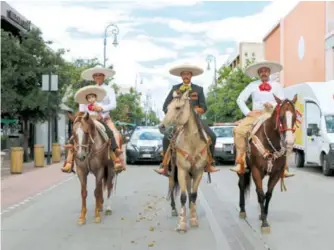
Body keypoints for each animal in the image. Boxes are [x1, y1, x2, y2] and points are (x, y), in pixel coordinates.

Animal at [160, 89, 210, 232]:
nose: (161, 127)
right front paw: (182, 224)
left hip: (190, 173)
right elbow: (182, 196)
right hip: (173, 171)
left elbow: (193, 194)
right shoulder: (182, 170)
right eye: (167, 108)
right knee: (172, 186)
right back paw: (174, 209)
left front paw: (193, 218)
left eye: (178, 107)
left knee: (189, 189)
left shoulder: (198, 171)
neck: (192, 143)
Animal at [237, 94, 298, 232]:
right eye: (281, 116)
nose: (289, 142)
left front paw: (263, 214)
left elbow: (268, 194)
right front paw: (264, 223)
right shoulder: (256, 170)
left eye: (295, 117)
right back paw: (242, 210)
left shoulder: (276, 173)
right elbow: (260, 194)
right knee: (242, 185)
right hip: (243, 169)